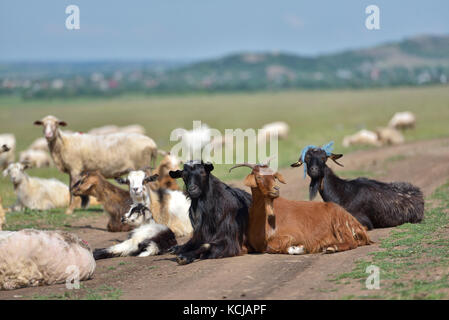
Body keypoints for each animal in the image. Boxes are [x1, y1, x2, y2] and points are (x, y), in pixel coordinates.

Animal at [228, 165, 372, 255]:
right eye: (258, 177)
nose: (276, 189)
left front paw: (300, 249)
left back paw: (331, 247)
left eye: (274, 176)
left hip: (340, 223)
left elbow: (272, 246)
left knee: (352, 243)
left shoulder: (293, 235)